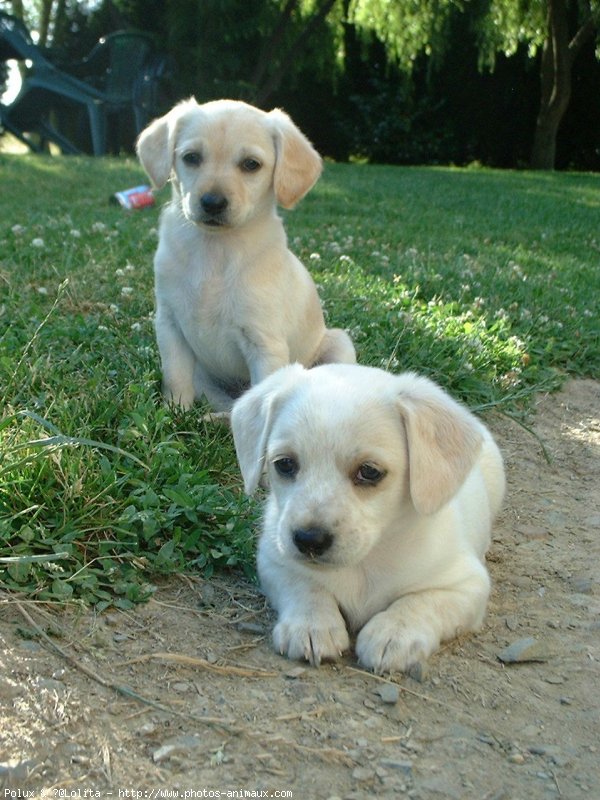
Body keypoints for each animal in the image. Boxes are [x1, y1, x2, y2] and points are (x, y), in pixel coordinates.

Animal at [135, 98, 356, 412]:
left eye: (251, 164)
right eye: (191, 158)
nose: (212, 202)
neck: (215, 250)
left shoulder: (265, 344)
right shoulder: (170, 326)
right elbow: (176, 377)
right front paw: (174, 413)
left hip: (340, 344)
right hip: (204, 379)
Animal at [232, 366, 504, 672]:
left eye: (370, 472)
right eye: (285, 464)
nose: (308, 540)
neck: (366, 562)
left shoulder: (467, 586)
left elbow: (420, 602)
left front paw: (393, 634)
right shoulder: (275, 561)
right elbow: (305, 588)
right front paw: (312, 625)